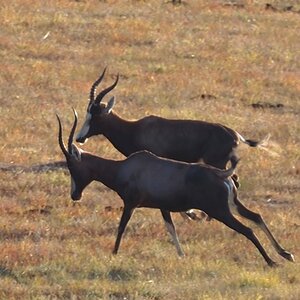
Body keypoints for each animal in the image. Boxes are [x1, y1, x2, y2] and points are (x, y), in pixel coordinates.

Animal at [57, 109, 294, 266]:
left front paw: (114, 254)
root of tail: (222, 174)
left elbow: (122, 227)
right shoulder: (163, 207)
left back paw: (272, 262)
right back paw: (286, 254)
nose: (75, 195)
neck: (127, 167)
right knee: (256, 216)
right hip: (233, 204)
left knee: (247, 229)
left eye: (72, 165)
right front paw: (182, 255)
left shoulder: (131, 204)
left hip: (220, 211)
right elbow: (171, 229)